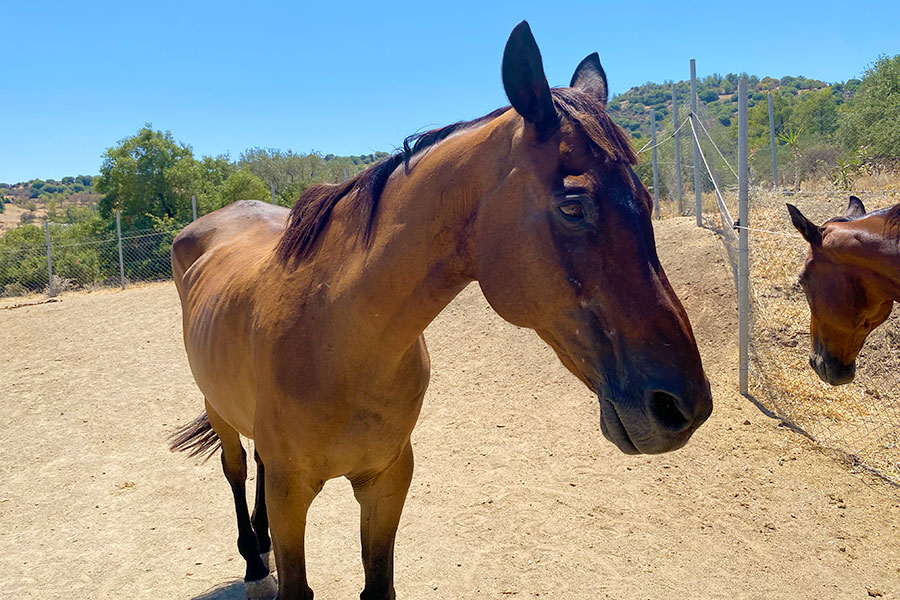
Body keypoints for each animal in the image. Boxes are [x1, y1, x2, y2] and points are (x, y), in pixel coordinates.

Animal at [169, 21, 712, 600]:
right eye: (572, 206)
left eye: (648, 202)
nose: (684, 406)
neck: (337, 339)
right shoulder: (292, 492)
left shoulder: (386, 480)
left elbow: (378, 584)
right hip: (219, 411)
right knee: (235, 468)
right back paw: (254, 562)